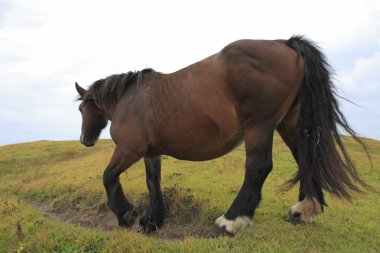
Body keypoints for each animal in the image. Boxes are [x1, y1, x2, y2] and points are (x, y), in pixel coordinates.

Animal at [75, 35, 372, 237]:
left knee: (258, 167)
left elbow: (108, 176)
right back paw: (304, 209)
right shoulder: (151, 153)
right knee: (306, 160)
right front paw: (153, 221)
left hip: (260, 126)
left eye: (81, 109)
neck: (130, 98)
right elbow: (153, 183)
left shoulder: (130, 148)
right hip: (290, 125)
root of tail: (285, 43)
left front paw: (126, 213)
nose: (85, 140)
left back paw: (230, 221)